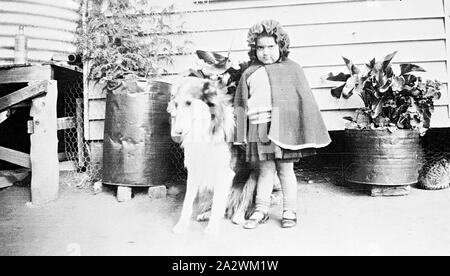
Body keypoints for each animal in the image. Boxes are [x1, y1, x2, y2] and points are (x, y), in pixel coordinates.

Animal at [167, 76, 256, 234]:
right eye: (176, 104)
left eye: (189, 103)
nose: (177, 133)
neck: (203, 131)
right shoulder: (194, 171)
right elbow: (187, 202)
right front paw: (181, 225)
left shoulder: (225, 173)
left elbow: (217, 205)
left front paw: (212, 229)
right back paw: (206, 214)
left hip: (252, 176)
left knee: (241, 204)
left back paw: (238, 217)